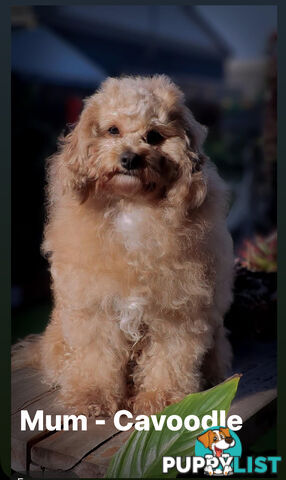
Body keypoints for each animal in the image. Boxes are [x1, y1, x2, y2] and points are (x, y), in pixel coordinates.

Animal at [11, 75, 235, 416]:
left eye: (153, 136)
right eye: (112, 130)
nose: (129, 158)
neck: (132, 206)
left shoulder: (177, 311)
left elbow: (170, 359)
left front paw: (162, 400)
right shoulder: (96, 308)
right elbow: (97, 357)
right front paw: (92, 396)